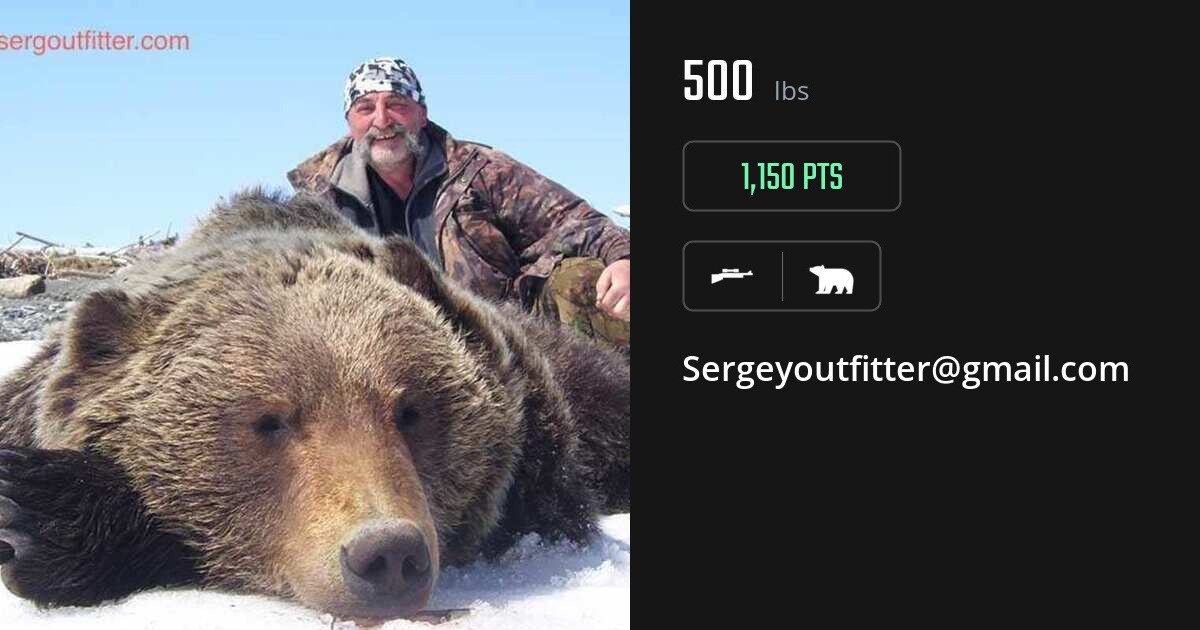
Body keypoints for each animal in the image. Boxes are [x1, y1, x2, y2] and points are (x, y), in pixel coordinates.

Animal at [0, 189, 629, 621]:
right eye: (269, 421)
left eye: (411, 409)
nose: (388, 553)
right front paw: (31, 504)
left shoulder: (540, 440)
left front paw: (39, 508)